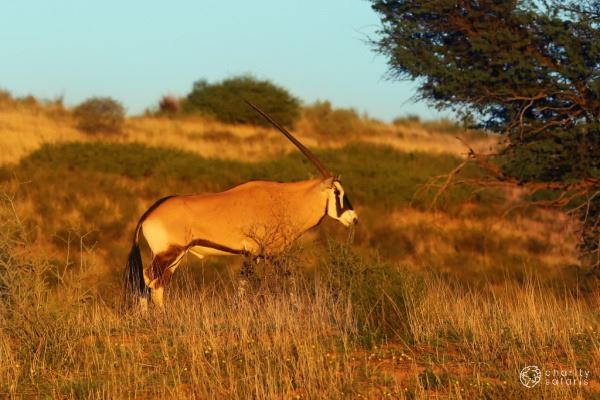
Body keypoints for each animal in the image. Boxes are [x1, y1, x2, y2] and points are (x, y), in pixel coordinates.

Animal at [125, 102, 358, 309]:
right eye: (337, 192)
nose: (353, 218)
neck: (289, 200)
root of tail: (148, 214)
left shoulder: (254, 255)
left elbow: (246, 283)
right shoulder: (267, 252)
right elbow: (284, 279)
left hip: (176, 257)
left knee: (159, 284)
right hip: (167, 253)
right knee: (147, 279)